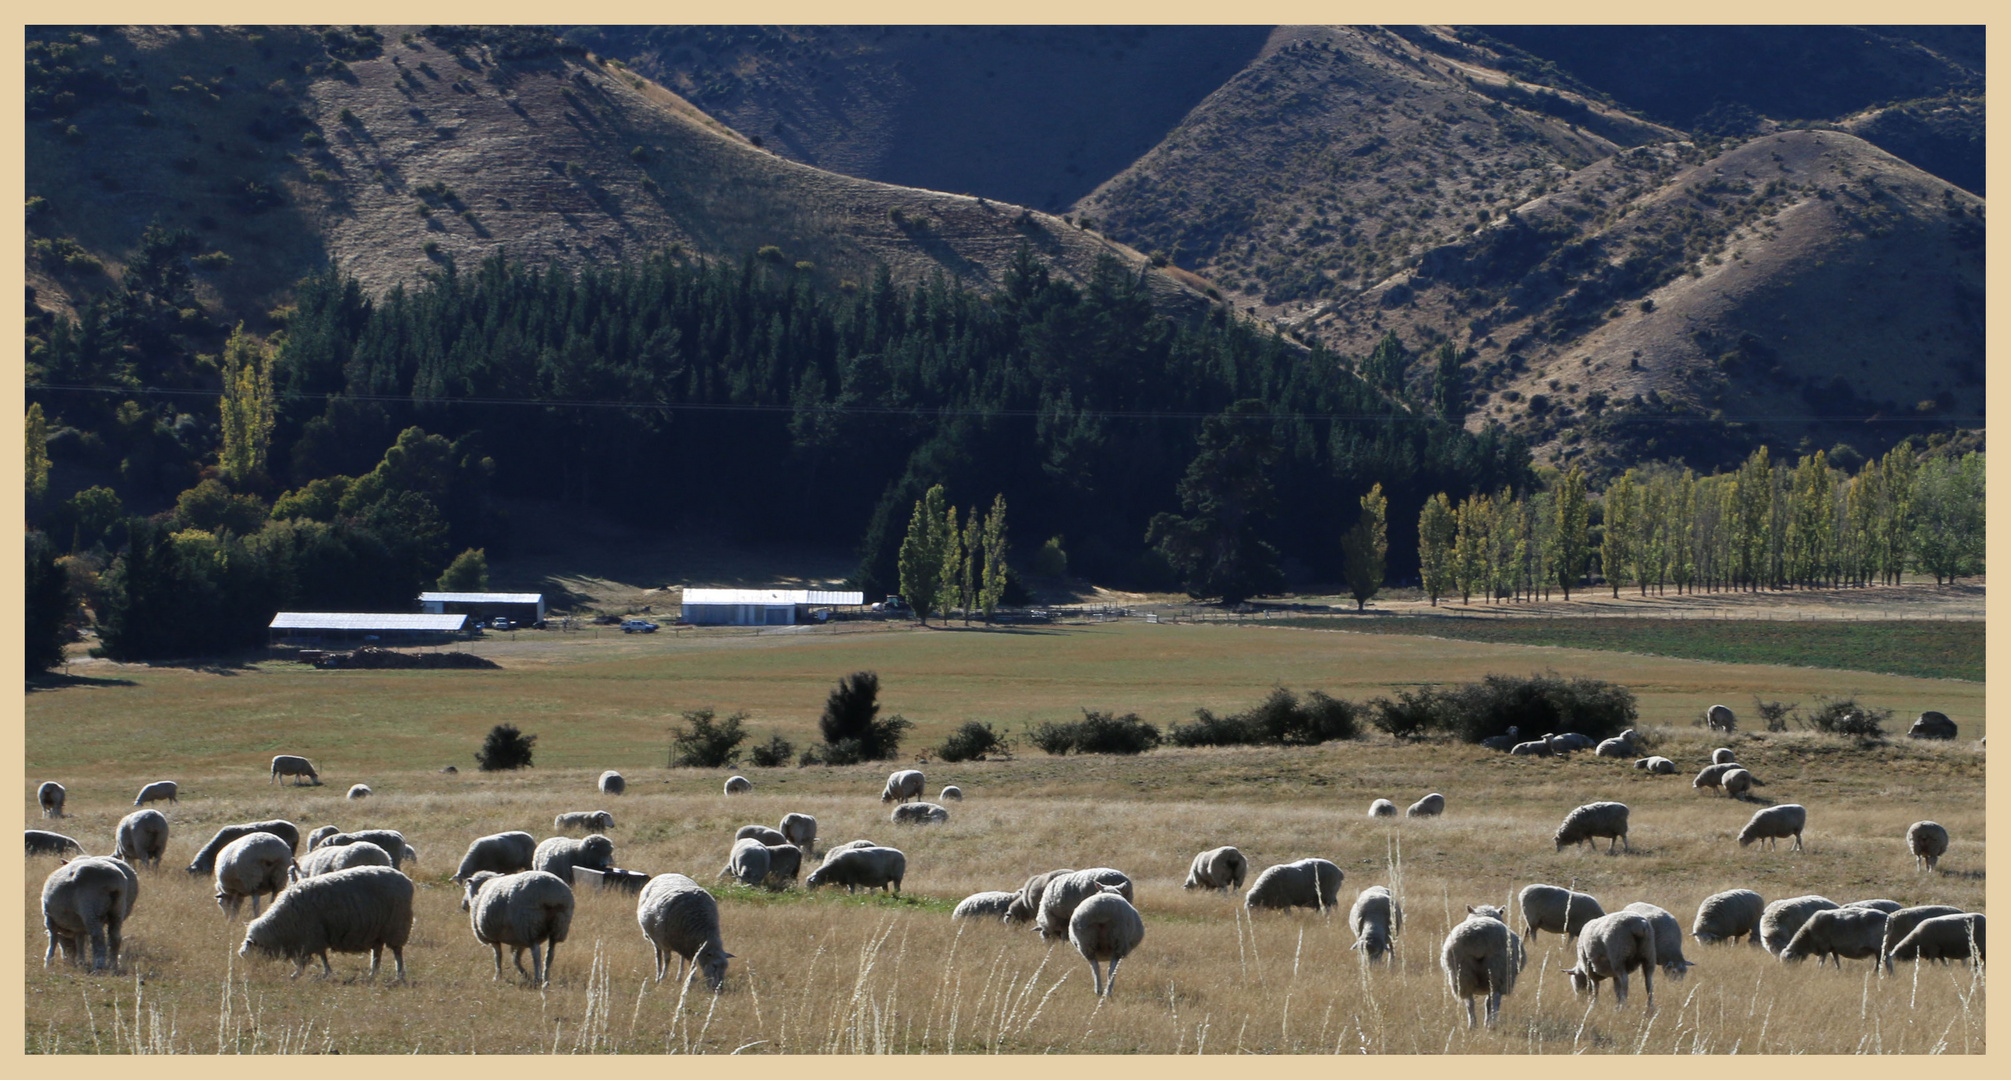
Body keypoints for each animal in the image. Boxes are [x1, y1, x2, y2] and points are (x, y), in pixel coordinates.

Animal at [239, 864, 412, 981]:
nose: (253, 975)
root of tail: (405, 879)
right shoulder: (312, 938)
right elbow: (321, 956)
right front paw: (325, 972)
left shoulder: (309, 936)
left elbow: (309, 959)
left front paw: (298, 974)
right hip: (378, 930)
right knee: (377, 952)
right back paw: (373, 974)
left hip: (396, 925)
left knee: (397, 952)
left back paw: (400, 975)